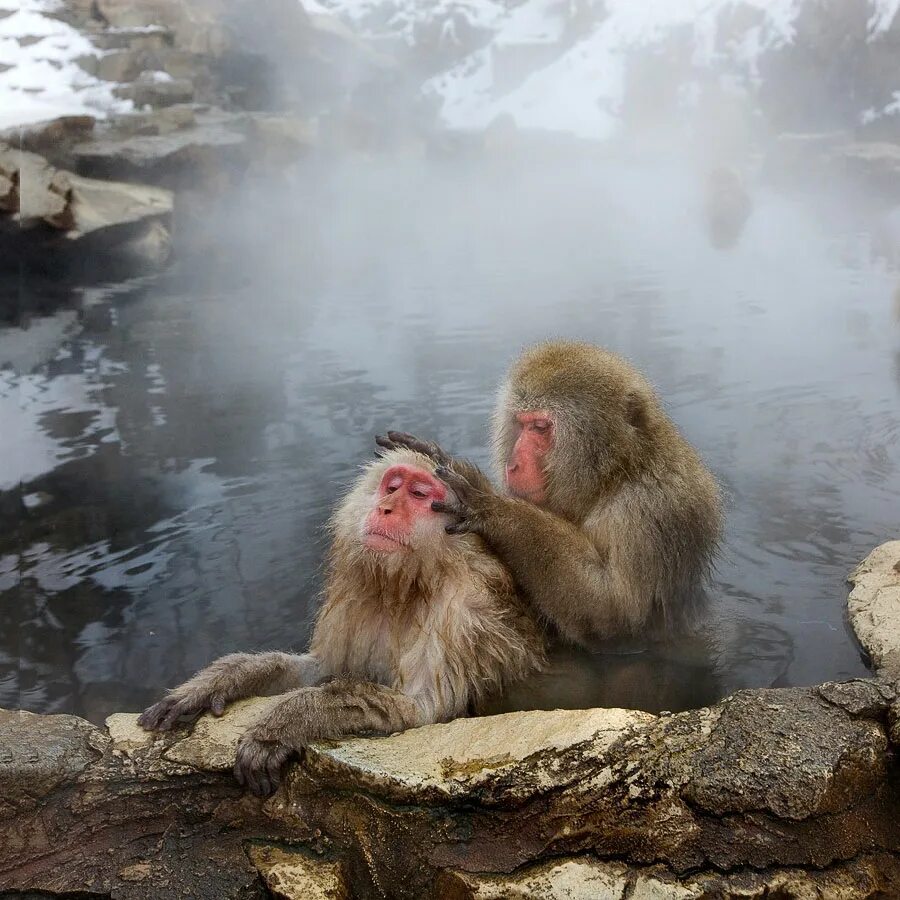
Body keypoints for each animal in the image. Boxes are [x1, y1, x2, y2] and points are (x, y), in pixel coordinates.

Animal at [138, 448, 544, 796]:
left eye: (417, 494)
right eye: (392, 487)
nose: (385, 508)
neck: (411, 581)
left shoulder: (462, 614)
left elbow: (423, 711)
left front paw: (287, 722)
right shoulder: (357, 592)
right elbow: (322, 668)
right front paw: (220, 680)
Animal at [380, 340, 724, 648]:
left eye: (540, 427)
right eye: (521, 424)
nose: (513, 464)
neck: (615, 473)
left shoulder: (650, 509)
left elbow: (615, 616)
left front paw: (488, 506)